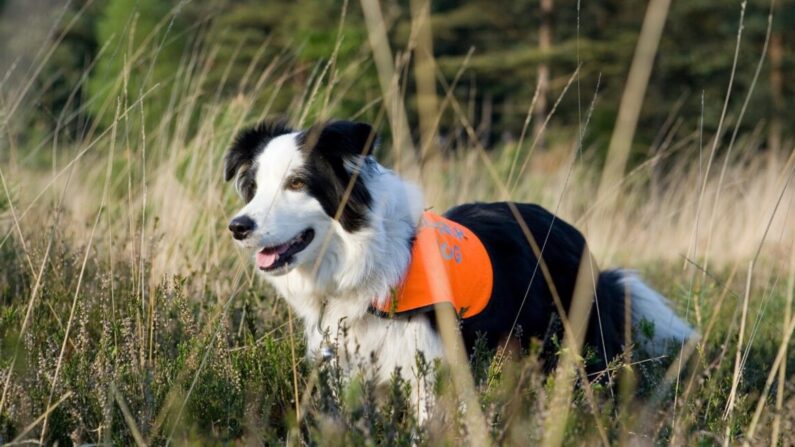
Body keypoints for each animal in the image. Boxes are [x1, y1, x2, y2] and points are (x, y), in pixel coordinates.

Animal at [222, 119, 692, 420]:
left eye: (297, 183)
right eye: (254, 188)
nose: (237, 227)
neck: (367, 260)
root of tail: (573, 233)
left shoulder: (427, 375)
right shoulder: (347, 370)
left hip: (581, 351)